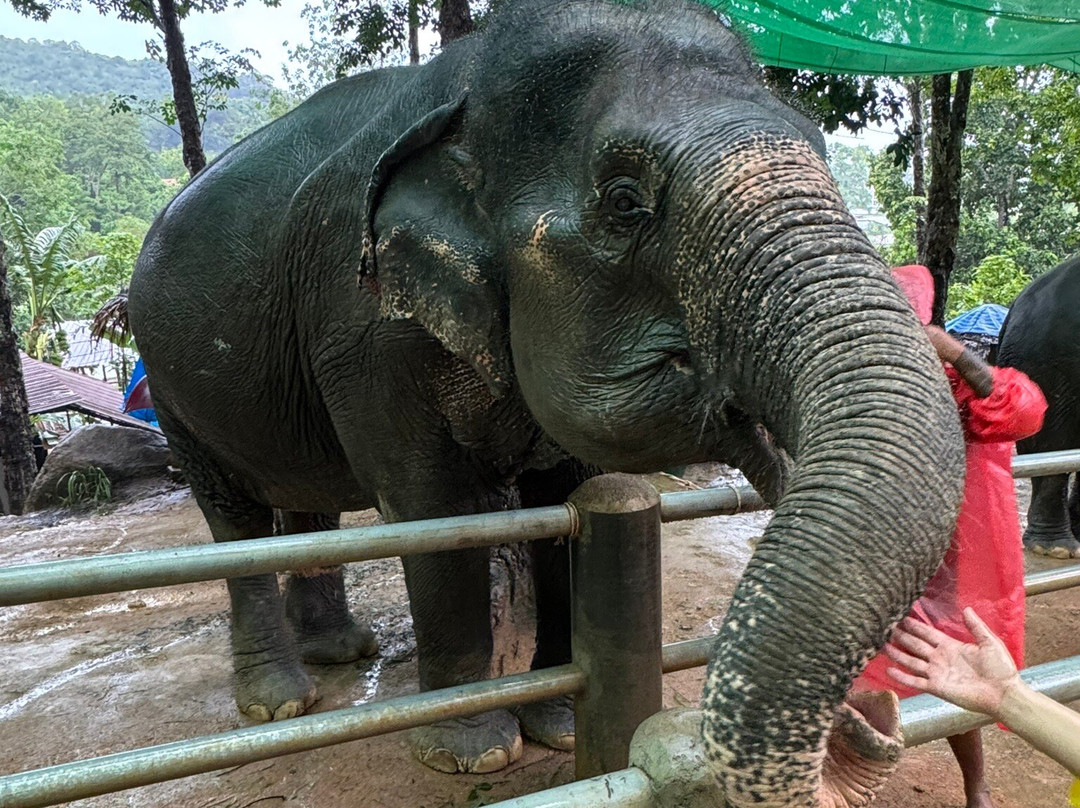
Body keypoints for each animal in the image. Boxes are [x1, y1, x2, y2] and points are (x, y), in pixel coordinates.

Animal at [127, 0, 966, 803]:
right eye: (626, 202)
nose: (871, 715)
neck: (464, 83)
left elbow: (565, 499)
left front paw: (560, 730)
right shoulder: (360, 326)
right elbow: (431, 510)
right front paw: (471, 755)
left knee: (307, 505)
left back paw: (341, 651)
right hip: (164, 380)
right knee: (234, 519)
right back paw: (278, 701)